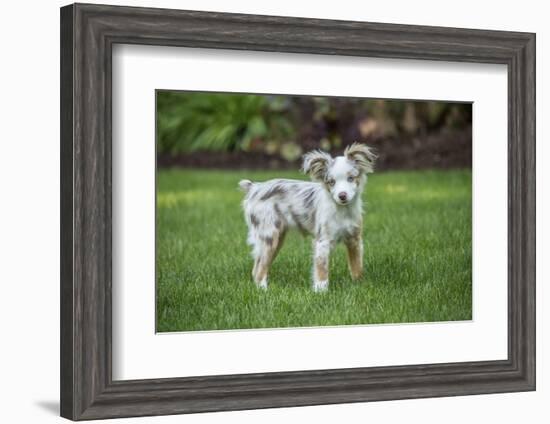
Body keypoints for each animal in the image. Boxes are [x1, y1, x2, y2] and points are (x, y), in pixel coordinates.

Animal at [239, 142, 378, 292]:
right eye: (331, 182)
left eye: (351, 178)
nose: (342, 196)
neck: (342, 210)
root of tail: (255, 187)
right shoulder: (322, 242)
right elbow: (322, 270)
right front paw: (321, 291)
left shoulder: (354, 239)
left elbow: (356, 266)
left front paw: (359, 285)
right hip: (269, 236)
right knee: (260, 270)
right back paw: (264, 290)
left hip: (276, 239)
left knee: (256, 268)